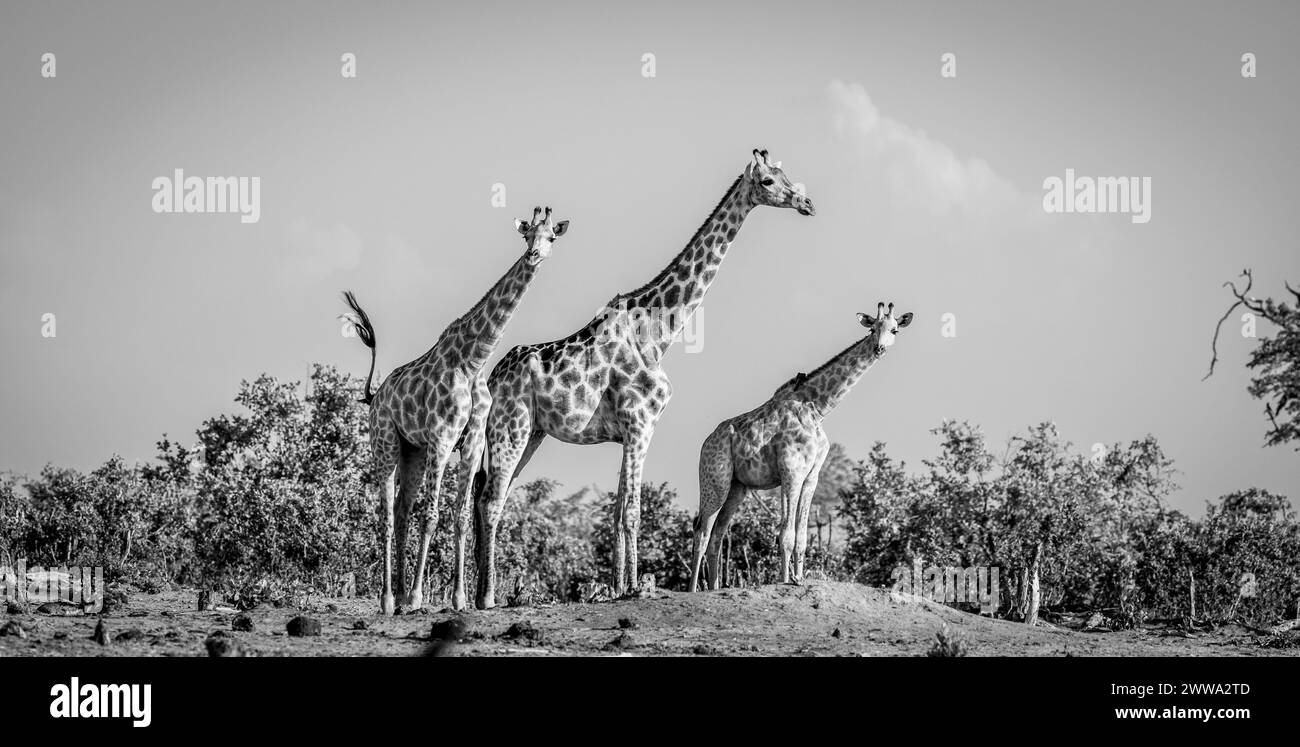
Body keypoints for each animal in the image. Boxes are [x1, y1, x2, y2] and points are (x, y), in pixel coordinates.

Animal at [340, 206, 569, 613]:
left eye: (551, 237)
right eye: (527, 235)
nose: (534, 255)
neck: (473, 360)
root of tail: (375, 396)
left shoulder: (472, 442)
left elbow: (460, 515)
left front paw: (459, 599)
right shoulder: (443, 439)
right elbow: (431, 516)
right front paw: (420, 597)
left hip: (412, 451)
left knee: (401, 509)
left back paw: (400, 594)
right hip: (385, 443)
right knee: (386, 514)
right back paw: (389, 599)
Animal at [467, 147, 811, 607]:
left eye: (786, 175)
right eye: (769, 182)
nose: (807, 203)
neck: (658, 334)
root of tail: (493, 379)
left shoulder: (634, 431)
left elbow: (618, 510)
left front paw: (618, 587)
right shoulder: (639, 423)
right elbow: (632, 509)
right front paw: (631, 588)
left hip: (532, 433)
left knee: (494, 495)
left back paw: (474, 594)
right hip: (511, 426)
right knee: (491, 499)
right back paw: (485, 598)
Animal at [691, 301, 915, 592]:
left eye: (895, 329)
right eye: (873, 328)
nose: (879, 348)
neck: (818, 409)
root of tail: (707, 441)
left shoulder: (811, 477)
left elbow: (802, 537)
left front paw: (798, 578)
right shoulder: (791, 472)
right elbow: (785, 533)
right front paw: (785, 580)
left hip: (736, 488)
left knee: (717, 535)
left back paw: (715, 587)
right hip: (714, 481)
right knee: (702, 533)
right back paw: (692, 589)